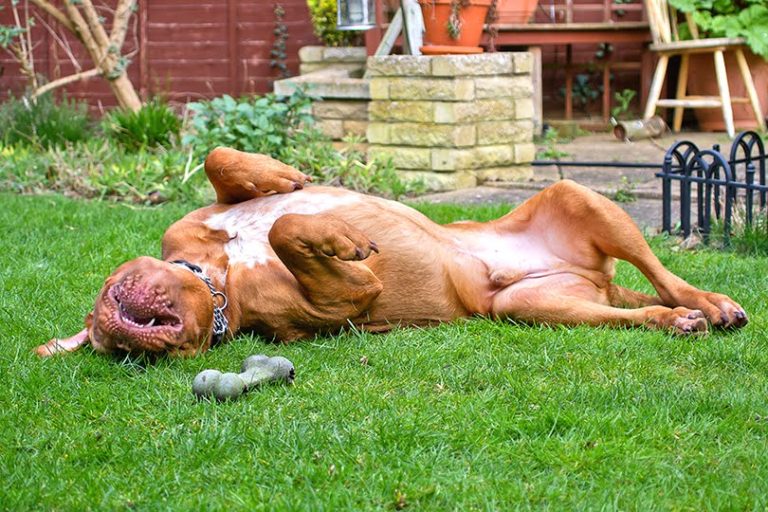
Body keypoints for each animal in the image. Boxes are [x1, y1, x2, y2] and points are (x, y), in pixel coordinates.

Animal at [37, 146, 752, 358]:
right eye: (121, 356)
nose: (124, 330)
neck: (216, 277)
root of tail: (592, 277)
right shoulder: (347, 294)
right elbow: (288, 231)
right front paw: (337, 236)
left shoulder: (196, 220)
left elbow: (231, 168)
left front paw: (282, 177)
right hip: (534, 306)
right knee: (634, 308)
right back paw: (679, 320)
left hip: (579, 197)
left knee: (662, 275)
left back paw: (710, 302)